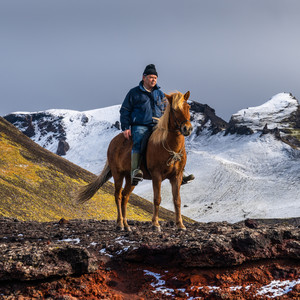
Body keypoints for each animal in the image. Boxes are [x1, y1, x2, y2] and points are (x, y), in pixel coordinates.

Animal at [77, 91, 192, 232]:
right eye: (175, 109)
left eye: (188, 107)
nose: (187, 129)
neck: (169, 145)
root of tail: (113, 142)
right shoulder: (156, 176)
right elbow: (157, 199)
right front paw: (155, 224)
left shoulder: (177, 176)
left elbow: (177, 200)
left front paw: (180, 225)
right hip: (118, 174)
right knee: (118, 196)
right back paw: (120, 224)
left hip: (131, 178)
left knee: (125, 197)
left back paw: (127, 225)